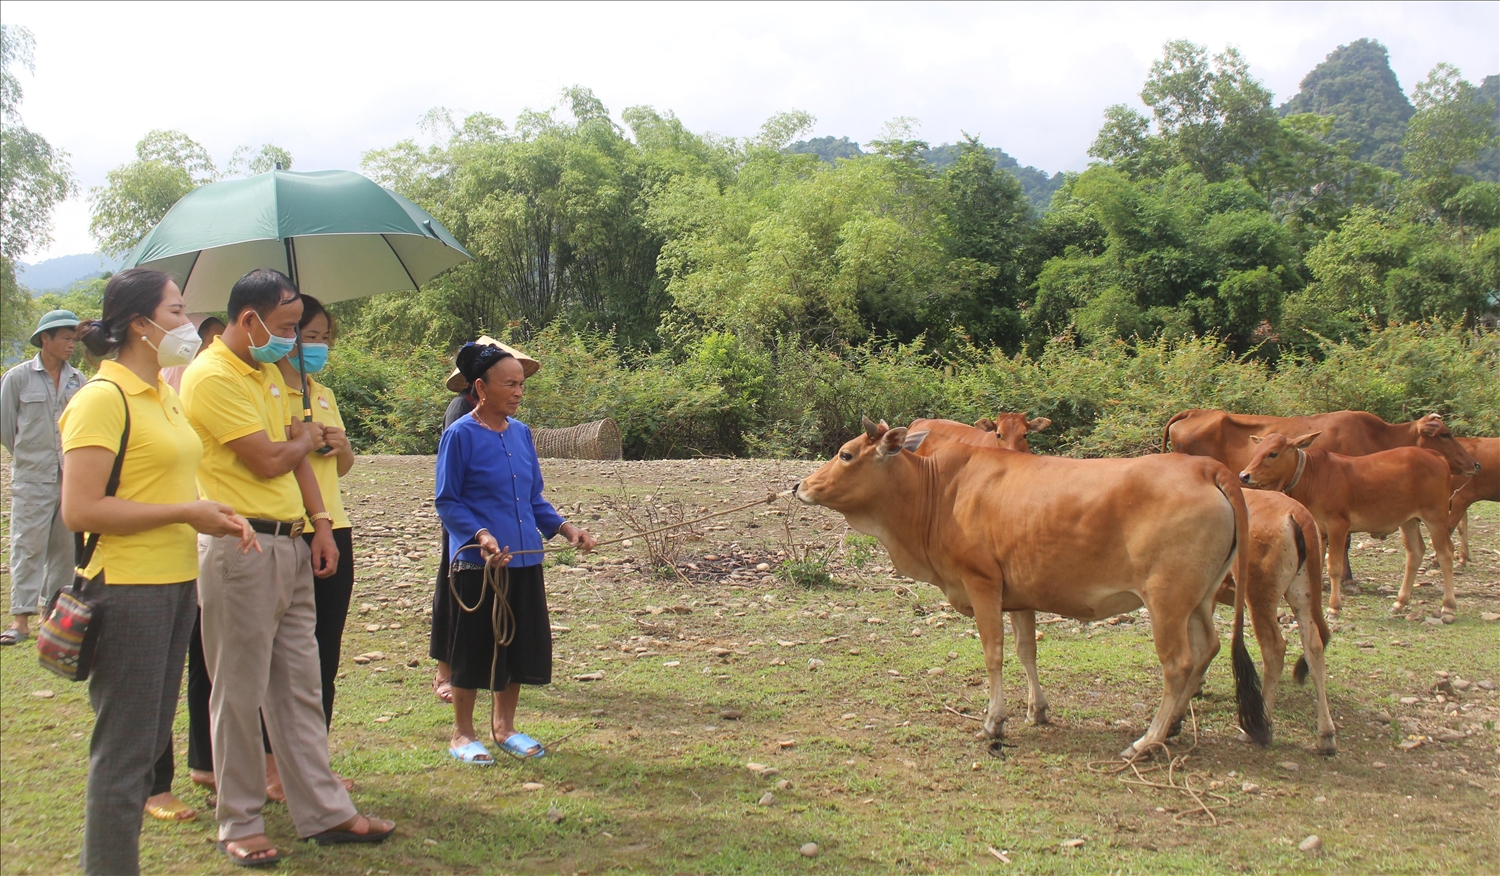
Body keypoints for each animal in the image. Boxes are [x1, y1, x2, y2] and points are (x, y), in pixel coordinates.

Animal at [1218, 492, 1338, 753]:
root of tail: (1298, 514)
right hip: (1302, 596)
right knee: (1314, 649)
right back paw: (1326, 735)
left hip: (1259, 597)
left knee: (1274, 649)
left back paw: (1256, 726)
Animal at [1242, 432, 1476, 624]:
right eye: (1257, 451)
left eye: (1272, 453)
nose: (1244, 475)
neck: (1313, 475)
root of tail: (1436, 456)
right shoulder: (1320, 528)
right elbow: (1318, 565)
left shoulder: (1338, 526)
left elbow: (1334, 567)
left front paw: (1334, 608)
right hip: (1408, 521)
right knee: (1416, 553)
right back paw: (1400, 602)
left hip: (1435, 516)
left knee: (1445, 553)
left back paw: (1448, 607)